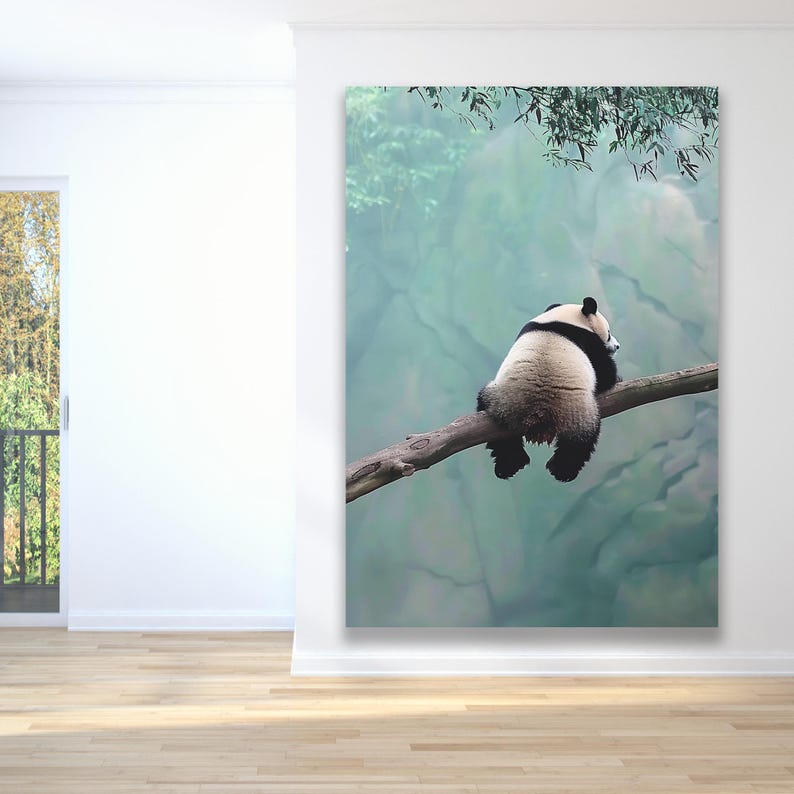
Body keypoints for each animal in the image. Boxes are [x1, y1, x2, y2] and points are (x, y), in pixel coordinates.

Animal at [476, 297, 620, 482]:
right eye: (608, 333)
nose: (617, 346)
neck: (563, 319)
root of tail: (539, 412)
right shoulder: (589, 341)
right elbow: (604, 372)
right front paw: (616, 378)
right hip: (577, 409)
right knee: (580, 441)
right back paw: (562, 470)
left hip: (500, 402)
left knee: (500, 437)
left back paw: (510, 464)